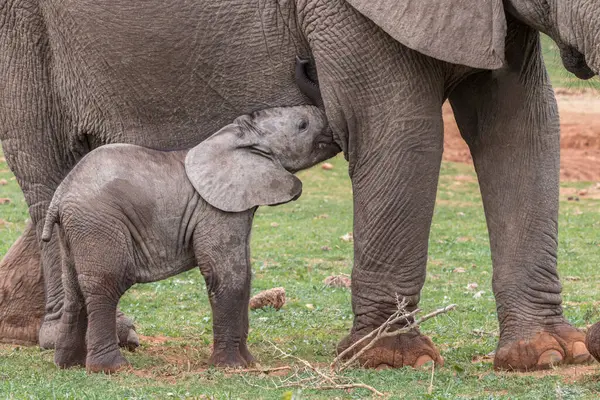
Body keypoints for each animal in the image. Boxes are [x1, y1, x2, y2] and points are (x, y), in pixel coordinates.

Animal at [39, 104, 340, 374]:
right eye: (303, 125)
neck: (238, 137)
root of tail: (60, 195)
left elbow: (245, 274)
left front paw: (250, 363)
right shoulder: (215, 211)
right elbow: (229, 275)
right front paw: (230, 367)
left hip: (76, 230)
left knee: (75, 289)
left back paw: (68, 364)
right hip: (100, 224)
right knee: (106, 285)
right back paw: (111, 368)